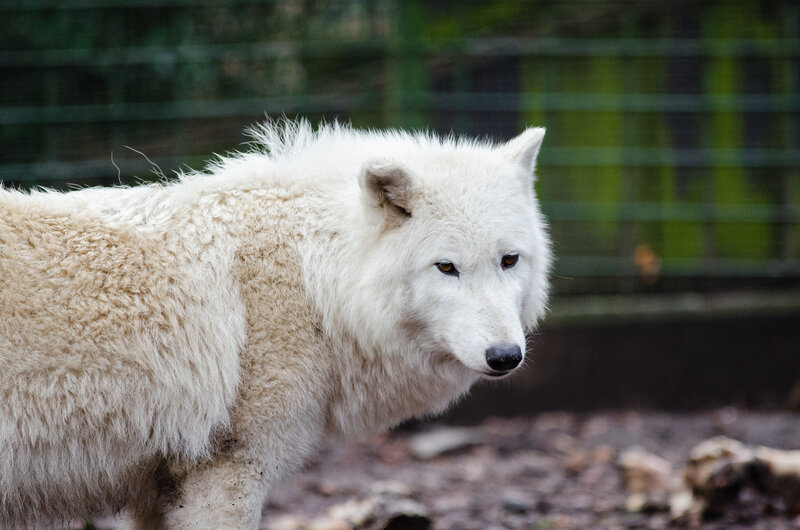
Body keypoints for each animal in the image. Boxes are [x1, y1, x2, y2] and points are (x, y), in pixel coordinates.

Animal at [0, 119, 551, 528]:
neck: (315, 282)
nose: (505, 356)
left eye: (509, 260)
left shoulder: (160, 490)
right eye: (447, 267)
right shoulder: (226, 475)